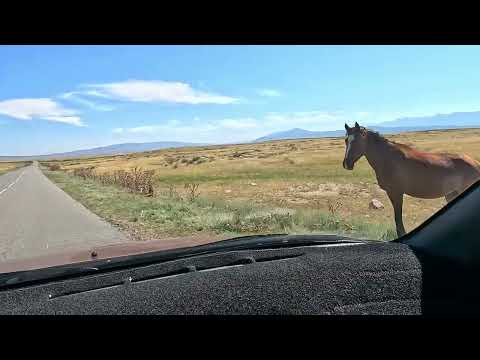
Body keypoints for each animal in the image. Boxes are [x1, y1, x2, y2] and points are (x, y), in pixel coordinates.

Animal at [342, 122, 480, 238]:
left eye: (357, 140)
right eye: (346, 140)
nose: (346, 164)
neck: (388, 159)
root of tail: (474, 163)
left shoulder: (396, 193)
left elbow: (398, 217)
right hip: (451, 194)